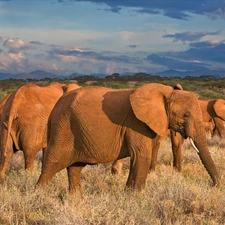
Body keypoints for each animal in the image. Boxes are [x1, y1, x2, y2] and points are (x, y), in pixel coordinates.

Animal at [36, 82, 220, 195]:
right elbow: (141, 156)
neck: (166, 92)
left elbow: (137, 159)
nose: (215, 185)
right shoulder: (137, 124)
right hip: (63, 128)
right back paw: (40, 197)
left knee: (75, 168)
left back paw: (76, 200)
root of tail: (55, 108)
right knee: (53, 164)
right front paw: (136, 198)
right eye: (186, 115)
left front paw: (128, 194)